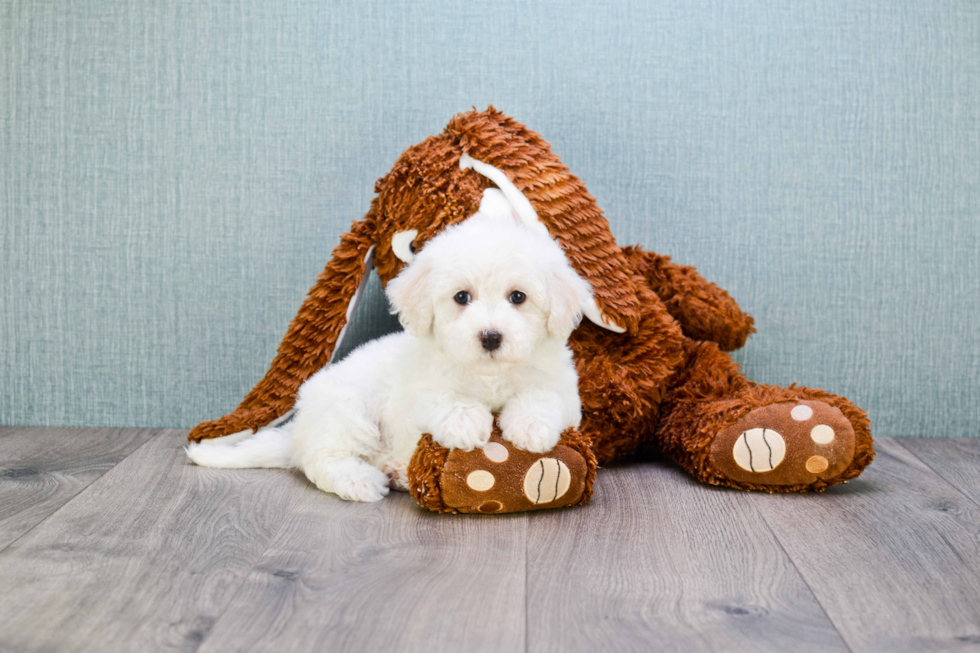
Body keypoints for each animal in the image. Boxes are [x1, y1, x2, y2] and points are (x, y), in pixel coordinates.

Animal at [188, 211, 592, 502]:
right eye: (462, 297)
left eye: (518, 297)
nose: (490, 337)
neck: (488, 374)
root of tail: (299, 430)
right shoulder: (420, 388)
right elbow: (444, 399)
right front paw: (464, 422)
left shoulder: (564, 390)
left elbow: (543, 396)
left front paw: (531, 427)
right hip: (349, 409)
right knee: (322, 458)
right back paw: (359, 480)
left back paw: (397, 470)